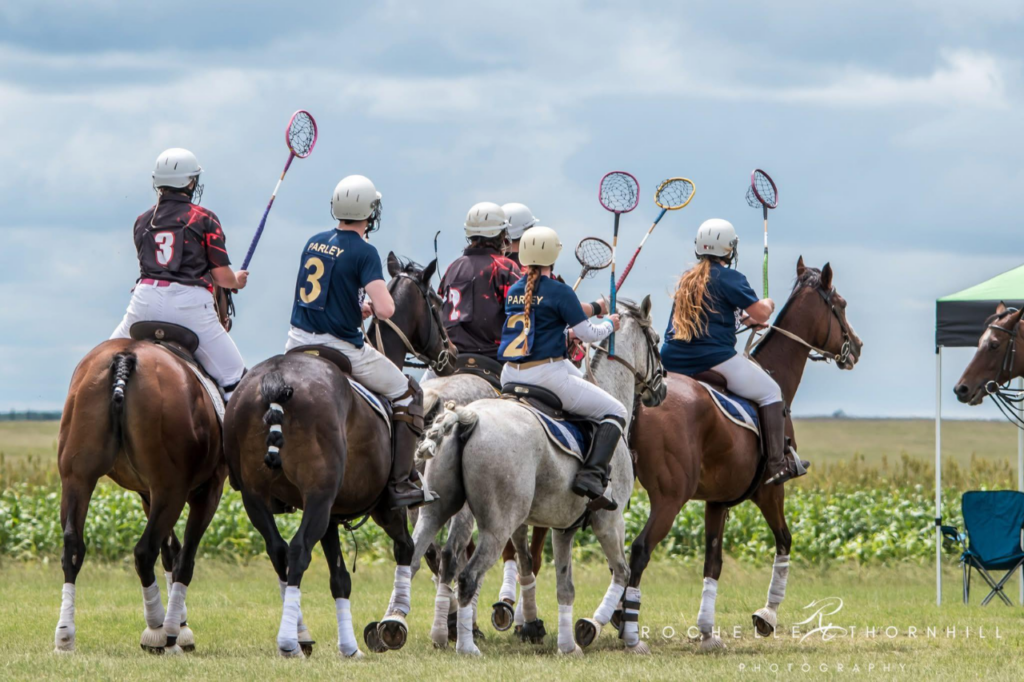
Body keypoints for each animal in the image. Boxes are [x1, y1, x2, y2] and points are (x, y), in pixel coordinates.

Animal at [53, 285, 235, 654]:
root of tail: (126, 358)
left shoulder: (147, 493)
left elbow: (170, 551)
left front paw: (179, 627)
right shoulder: (205, 491)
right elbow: (183, 558)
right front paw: (175, 630)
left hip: (77, 478)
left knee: (73, 547)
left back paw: (65, 634)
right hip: (171, 489)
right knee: (144, 551)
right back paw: (156, 631)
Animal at [222, 255, 453, 659]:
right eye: (437, 304)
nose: (450, 354)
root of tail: (276, 381)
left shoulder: (333, 512)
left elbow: (340, 578)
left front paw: (350, 646)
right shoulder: (383, 507)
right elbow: (405, 549)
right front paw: (393, 623)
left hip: (255, 497)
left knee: (279, 552)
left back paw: (299, 635)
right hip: (318, 494)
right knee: (298, 551)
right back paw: (289, 642)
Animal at [411, 296, 667, 656]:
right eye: (655, 340)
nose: (663, 387)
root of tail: (466, 418)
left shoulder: (563, 526)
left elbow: (563, 585)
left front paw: (567, 644)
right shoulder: (608, 519)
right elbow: (622, 571)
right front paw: (613, 633)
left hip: (437, 509)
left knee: (420, 558)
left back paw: (403, 628)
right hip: (497, 523)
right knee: (466, 574)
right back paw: (466, 645)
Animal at [621, 257, 862, 652]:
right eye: (839, 304)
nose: (856, 346)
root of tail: (644, 401)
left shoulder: (717, 501)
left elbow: (713, 562)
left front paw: (707, 632)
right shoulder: (770, 490)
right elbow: (785, 541)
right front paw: (767, 615)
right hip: (670, 498)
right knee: (640, 549)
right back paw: (627, 631)